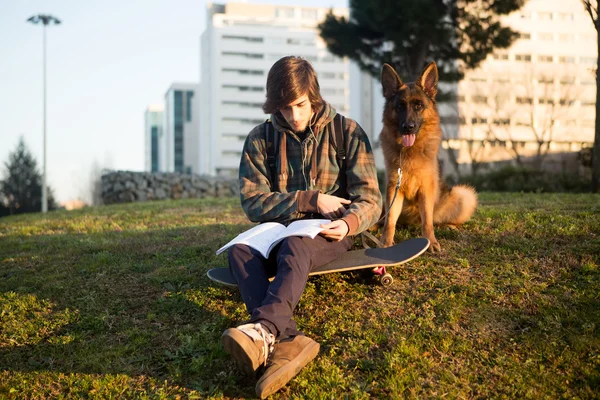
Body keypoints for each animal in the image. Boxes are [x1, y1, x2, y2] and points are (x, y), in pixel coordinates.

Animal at [380, 61, 478, 252]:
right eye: (400, 106)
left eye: (418, 106)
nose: (408, 127)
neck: (410, 151)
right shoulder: (392, 189)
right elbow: (389, 221)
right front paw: (386, 243)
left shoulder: (425, 189)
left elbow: (427, 220)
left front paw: (430, 242)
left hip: (463, 195)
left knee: (438, 220)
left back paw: (449, 226)